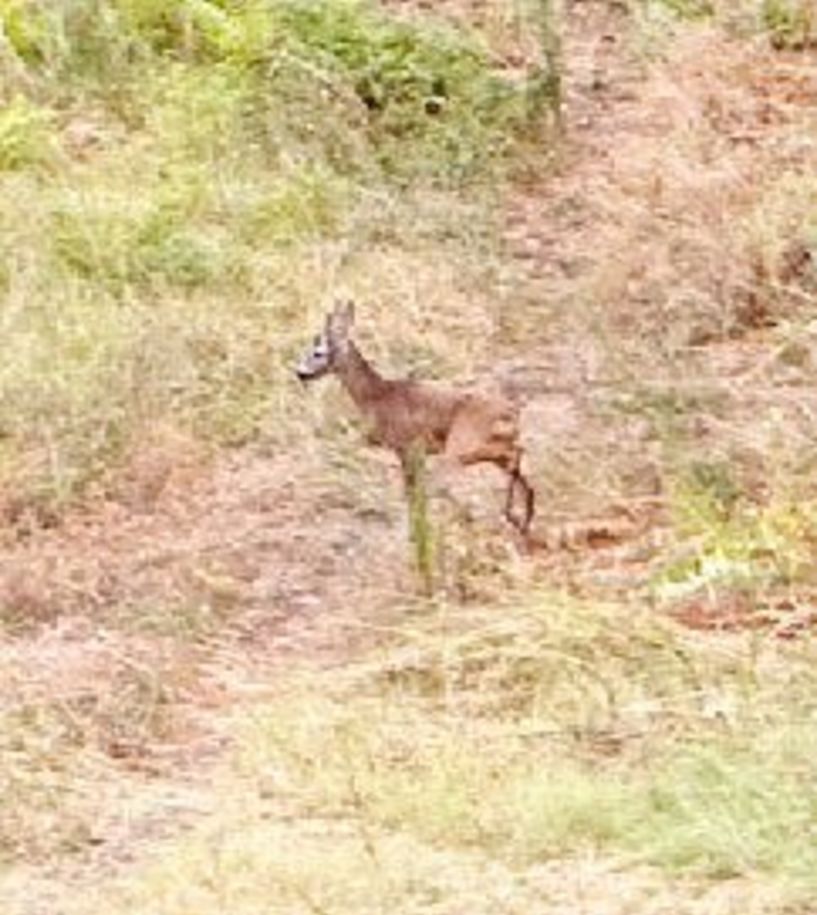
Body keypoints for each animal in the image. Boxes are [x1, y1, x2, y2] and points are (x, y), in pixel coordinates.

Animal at [294, 300, 536, 532]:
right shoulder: (412, 451)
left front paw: (417, 531)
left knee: (514, 454)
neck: (376, 395)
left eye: (318, 353)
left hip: (460, 446)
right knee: (516, 458)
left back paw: (514, 516)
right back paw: (522, 519)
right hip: (480, 447)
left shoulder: (407, 447)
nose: (300, 373)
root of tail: (512, 411)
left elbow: (413, 494)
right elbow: (415, 494)